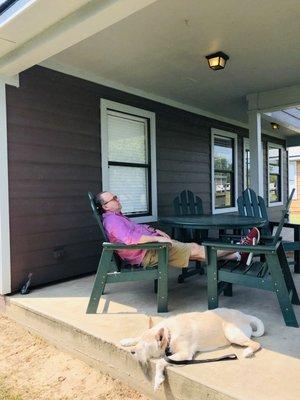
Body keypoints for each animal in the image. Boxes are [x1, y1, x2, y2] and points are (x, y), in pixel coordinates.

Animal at [120, 308, 264, 390]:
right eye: (139, 343)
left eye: (145, 346)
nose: (132, 352)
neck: (170, 333)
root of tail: (245, 316)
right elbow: (137, 337)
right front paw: (127, 341)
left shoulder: (185, 354)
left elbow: (161, 362)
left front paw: (158, 380)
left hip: (232, 333)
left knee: (256, 344)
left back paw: (248, 351)